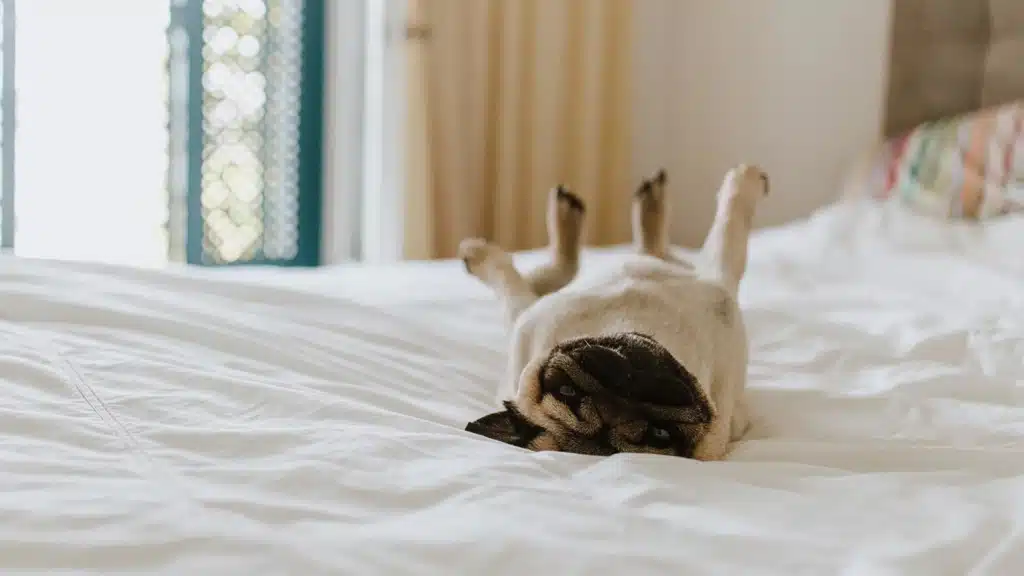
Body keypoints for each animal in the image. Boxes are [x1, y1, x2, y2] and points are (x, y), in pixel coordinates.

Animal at [460, 163, 765, 459]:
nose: (622, 394)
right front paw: (745, 181)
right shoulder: (718, 276)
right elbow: (730, 227)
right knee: (531, 277)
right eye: (660, 433)